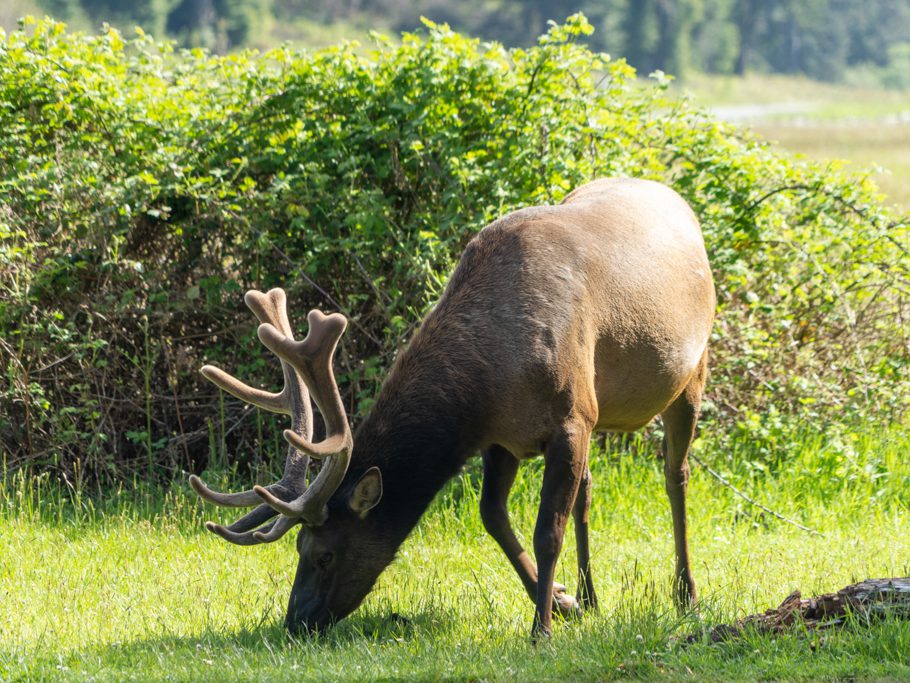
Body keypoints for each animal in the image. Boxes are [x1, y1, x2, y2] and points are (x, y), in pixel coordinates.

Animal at [191, 179, 720, 640]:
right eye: (297, 548)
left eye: (324, 554)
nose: (295, 621)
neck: (489, 375)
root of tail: (679, 201)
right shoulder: (503, 436)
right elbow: (493, 517)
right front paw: (560, 599)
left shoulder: (569, 419)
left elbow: (547, 530)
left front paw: (542, 628)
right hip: (600, 409)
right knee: (587, 493)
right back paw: (591, 597)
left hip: (691, 374)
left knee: (676, 475)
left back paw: (685, 593)